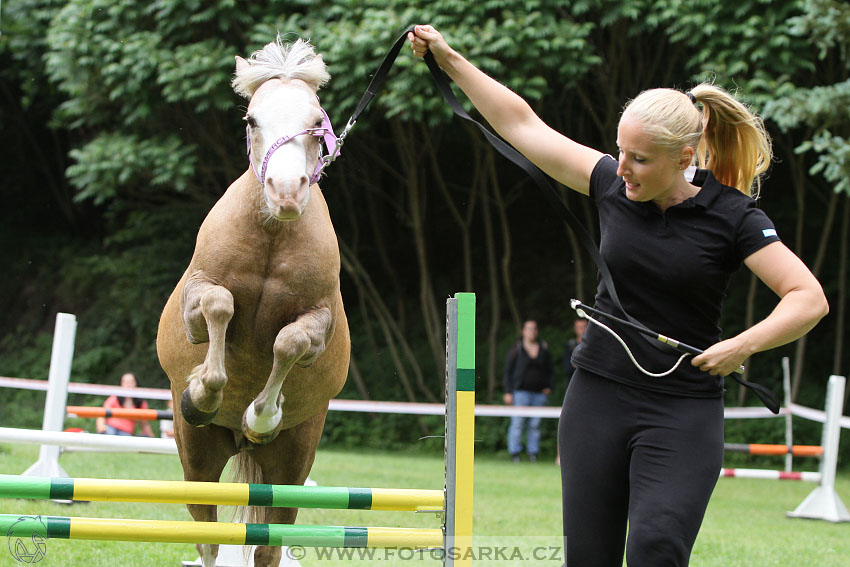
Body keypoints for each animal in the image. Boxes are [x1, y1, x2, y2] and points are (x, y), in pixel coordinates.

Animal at [156, 36, 348, 567]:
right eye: (251, 120)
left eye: (315, 120)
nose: (285, 192)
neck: (271, 235)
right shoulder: (198, 298)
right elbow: (220, 307)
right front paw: (204, 392)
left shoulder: (318, 321)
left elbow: (289, 343)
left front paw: (262, 414)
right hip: (197, 455)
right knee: (208, 538)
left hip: (291, 464)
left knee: (266, 547)